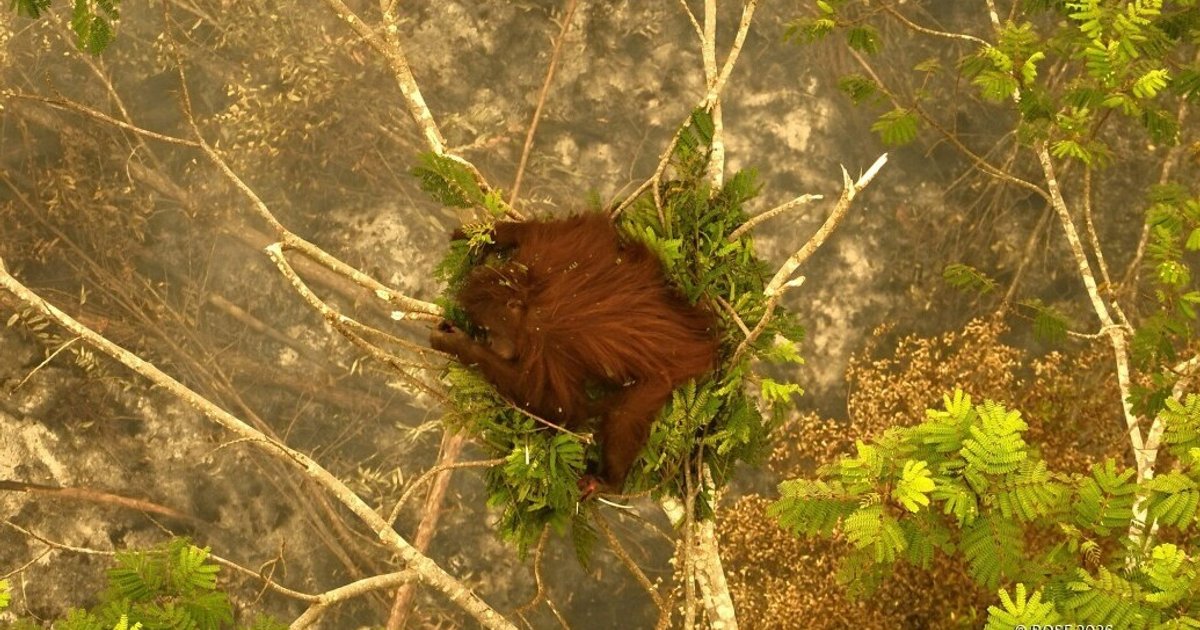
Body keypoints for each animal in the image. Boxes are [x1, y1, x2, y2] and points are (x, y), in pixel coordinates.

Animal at [430, 213, 719, 497]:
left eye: (489, 330)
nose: (489, 342)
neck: (529, 295)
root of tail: (700, 343)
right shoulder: (551, 252)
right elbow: (570, 229)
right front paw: (484, 235)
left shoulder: (545, 338)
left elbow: (557, 405)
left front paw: (456, 343)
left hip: (662, 377)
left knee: (625, 414)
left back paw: (610, 480)